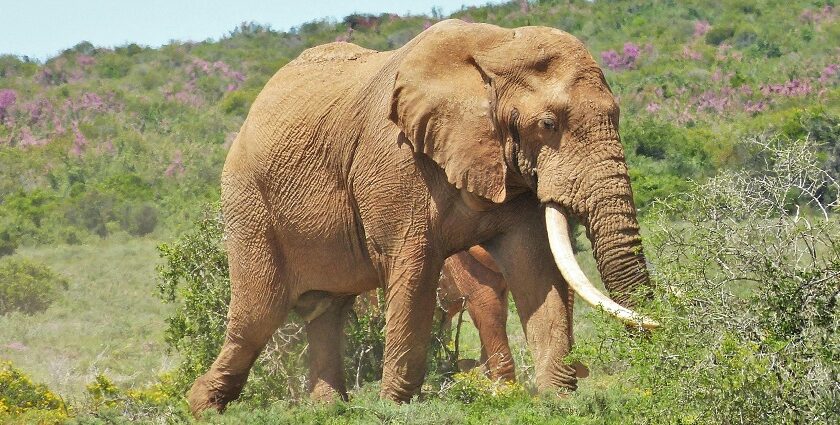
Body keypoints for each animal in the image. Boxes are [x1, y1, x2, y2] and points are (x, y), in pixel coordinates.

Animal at [187, 19, 660, 414]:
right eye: (548, 124)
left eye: (617, 114)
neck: (494, 48)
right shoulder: (396, 164)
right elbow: (414, 272)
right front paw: (394, 408)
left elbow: (536, 269)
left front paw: (560, 401)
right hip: (249, 202)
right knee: (258, 315)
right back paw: (202, 406)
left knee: (327, 310)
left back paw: (329, 410)